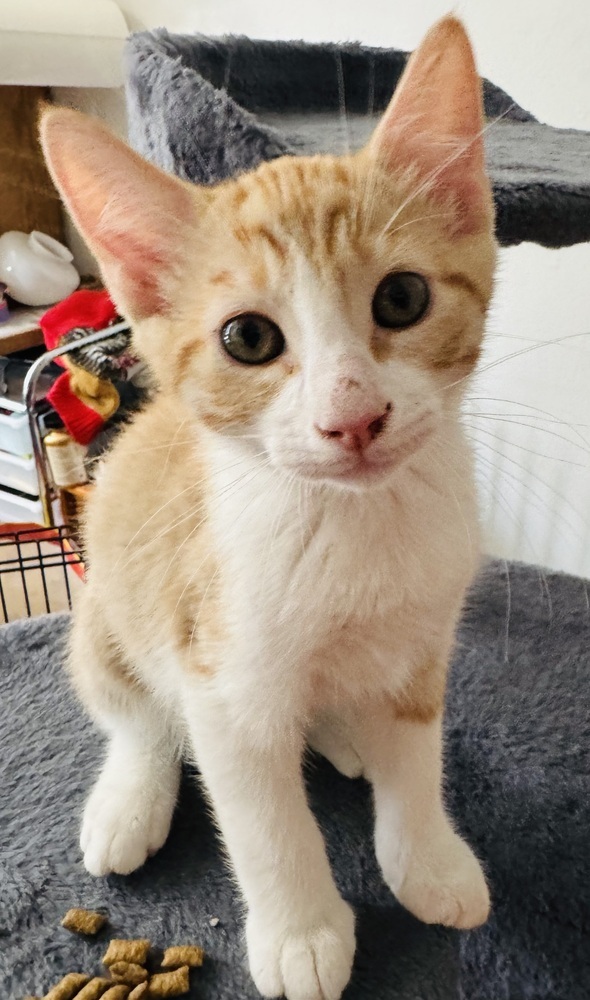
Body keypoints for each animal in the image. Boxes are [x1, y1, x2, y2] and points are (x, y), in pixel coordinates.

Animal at [40, 15, 494, 1000]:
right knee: (135, 717)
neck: (353, 527)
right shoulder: (223, 679)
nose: (352, 418)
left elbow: (417, 756)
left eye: (403, 297)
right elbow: (262, 815)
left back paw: (349, 733)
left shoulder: (426, 635)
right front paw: (300, 931)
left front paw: (427, 859)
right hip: (108, 613)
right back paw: (129, 800)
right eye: (248, 338)